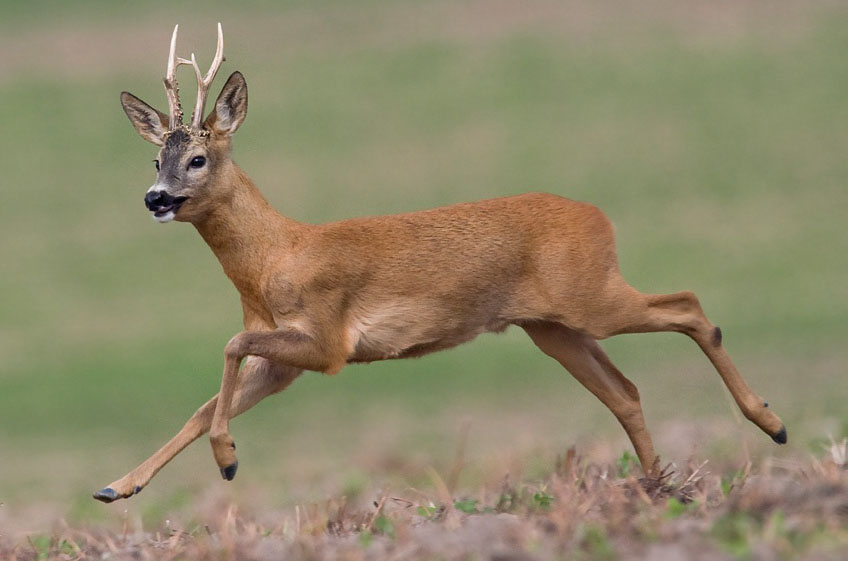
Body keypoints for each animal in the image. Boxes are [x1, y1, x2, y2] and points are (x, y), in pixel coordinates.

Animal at [94, 23, 786, 503]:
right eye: (155, 158)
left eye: (197, 159)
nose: (156, 198)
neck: (274, 258)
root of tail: (599, 216)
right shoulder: (285, 361)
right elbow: (206, 402)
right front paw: (117, 486)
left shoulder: (328, 342)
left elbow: (230, 347)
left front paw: (228, 461)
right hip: (553, 327)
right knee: (627, 390)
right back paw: (660, 488)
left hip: (591, 296)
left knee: (690, 307)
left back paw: (770, 424)